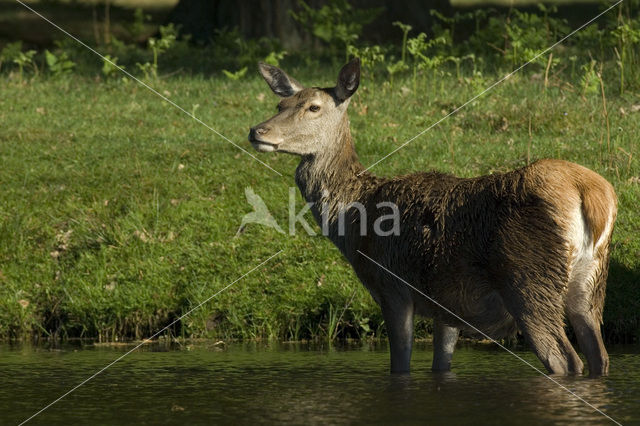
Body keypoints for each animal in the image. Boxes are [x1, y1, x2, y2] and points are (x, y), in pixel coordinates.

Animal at [248, 57, 616, 376]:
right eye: (280, 105)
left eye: (314, 107)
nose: (257, 131)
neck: (354, 222)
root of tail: (588, 193)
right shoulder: (447, 304)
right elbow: (441, 364)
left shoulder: (392, 286)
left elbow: (401, 364)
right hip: (590, 282)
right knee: (599, 355)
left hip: (528, 281)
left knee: (565, 360)